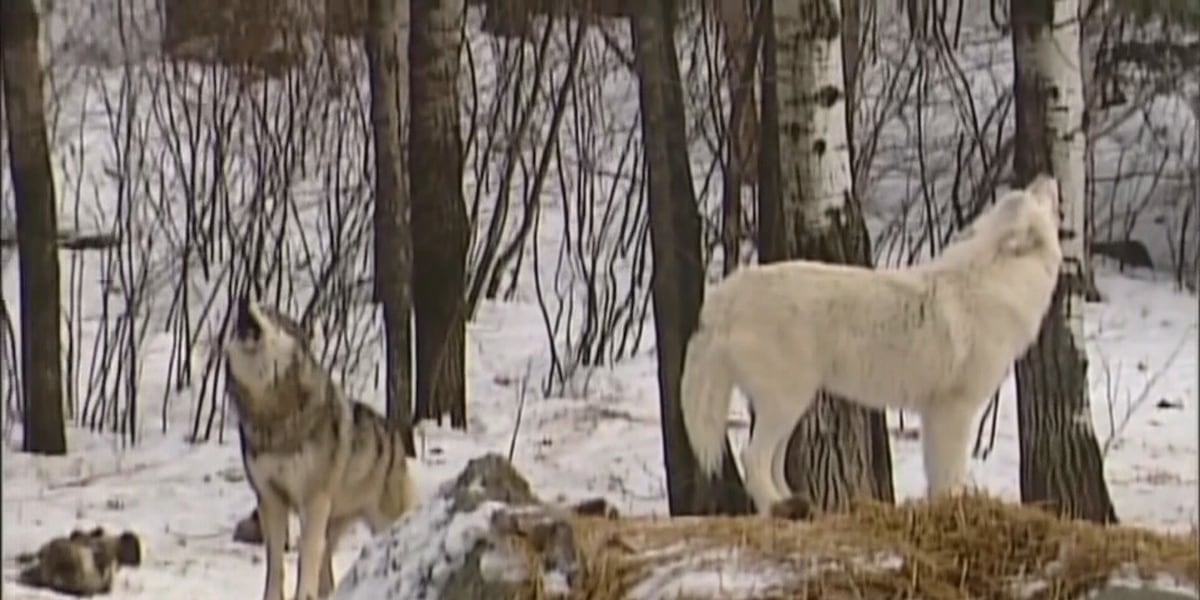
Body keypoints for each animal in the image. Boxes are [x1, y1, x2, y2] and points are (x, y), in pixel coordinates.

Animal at [225, 297, 418, 600]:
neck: (273, 414)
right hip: (334, 522)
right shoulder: (270, 498)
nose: (243, 300)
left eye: (270, 313)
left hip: (378, 519)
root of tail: (396, 439)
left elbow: (306, 555)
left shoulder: (313, 500)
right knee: (327, 568)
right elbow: (275, 562)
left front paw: (303, 595)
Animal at [681, 175, 1064, 516]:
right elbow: (950, 474)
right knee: (753, 458)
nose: (1046, 176)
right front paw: (956, 509)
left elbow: (935, 474)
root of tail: (727, 292)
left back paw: (796, 506)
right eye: (1035, 197)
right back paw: (778, 509)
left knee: (772, 462)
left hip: (792, 407)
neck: (1000, 281)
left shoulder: (933, 413)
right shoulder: (954, 409)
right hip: (786, 403)